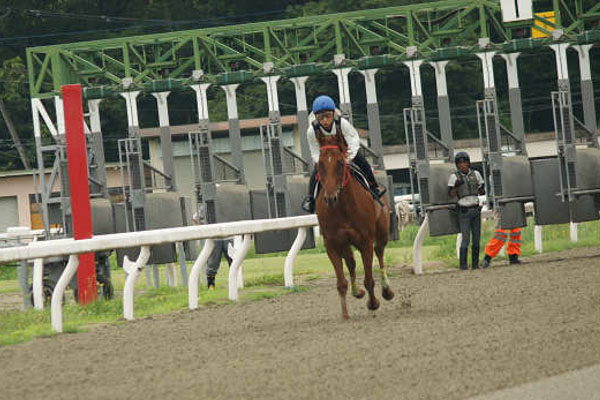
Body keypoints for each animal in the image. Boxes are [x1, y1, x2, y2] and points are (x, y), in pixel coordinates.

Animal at [315, 132, 394, 319]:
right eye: (320, 163)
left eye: (340, 162)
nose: (330, 198)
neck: (342, 207)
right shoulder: (332, 244)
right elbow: (341, 282)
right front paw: (344, 314)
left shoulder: (365, 242)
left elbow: (369, 279)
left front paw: (373, 303)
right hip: (345, 244)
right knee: (351, 263)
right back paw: (356, 292)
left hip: (382, 233)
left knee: (380, 252)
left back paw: (387, 291)